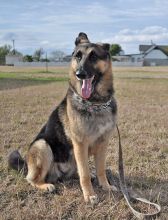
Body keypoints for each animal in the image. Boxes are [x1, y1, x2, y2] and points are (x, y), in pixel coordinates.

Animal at [8, 32, 117, 205]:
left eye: (93, 56)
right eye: (78, 56)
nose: (80, 74)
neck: (95, 103)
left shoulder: (103, 143)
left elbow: (100, 170)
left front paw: (105, 186)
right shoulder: (80, 143)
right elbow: (84, 174)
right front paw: (89, 195)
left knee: (78, 171)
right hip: (42, 146)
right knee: (31, 179)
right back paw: (45, 186)